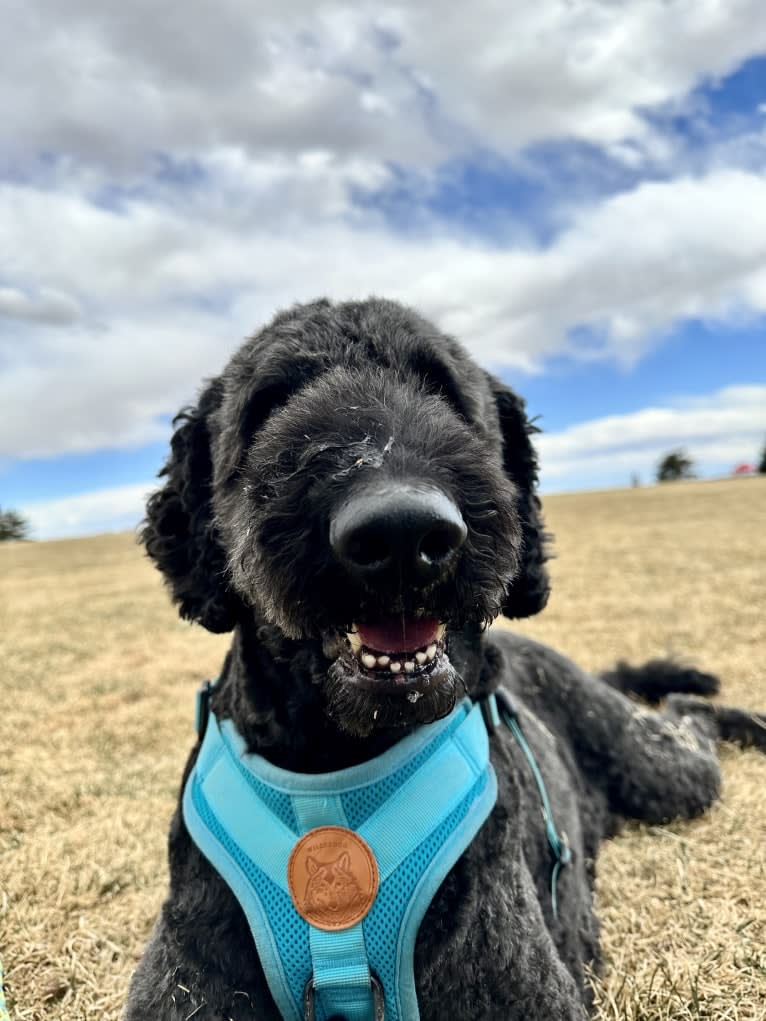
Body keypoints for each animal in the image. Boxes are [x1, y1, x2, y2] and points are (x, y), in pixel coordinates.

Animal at [126, 298, 766, 1021]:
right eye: (270, 402)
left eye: (444, 389)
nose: (402, 531)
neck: (336, 759)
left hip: (661, 771)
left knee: (688, 717)